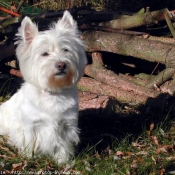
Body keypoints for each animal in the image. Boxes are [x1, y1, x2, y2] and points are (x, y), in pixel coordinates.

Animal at [0, 10, 87, 164]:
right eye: (45, 54)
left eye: (66, 50)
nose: (61, 65)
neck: (53, 93)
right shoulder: (30, 126)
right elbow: (29, 143)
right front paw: (28, 158)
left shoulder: (67, 125)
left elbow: (63, 144)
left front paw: (63, 161)